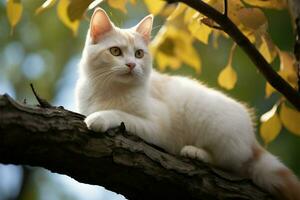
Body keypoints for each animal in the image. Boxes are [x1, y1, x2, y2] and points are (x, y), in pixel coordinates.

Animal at [77, 7, 300, 199]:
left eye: (139, 54)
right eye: (115, 51)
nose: (132, 64)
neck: (109, 89)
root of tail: (252, 139)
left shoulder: (158, 127)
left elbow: (121, 114)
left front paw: (100, 117)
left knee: (231, 163)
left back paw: (196, 152)